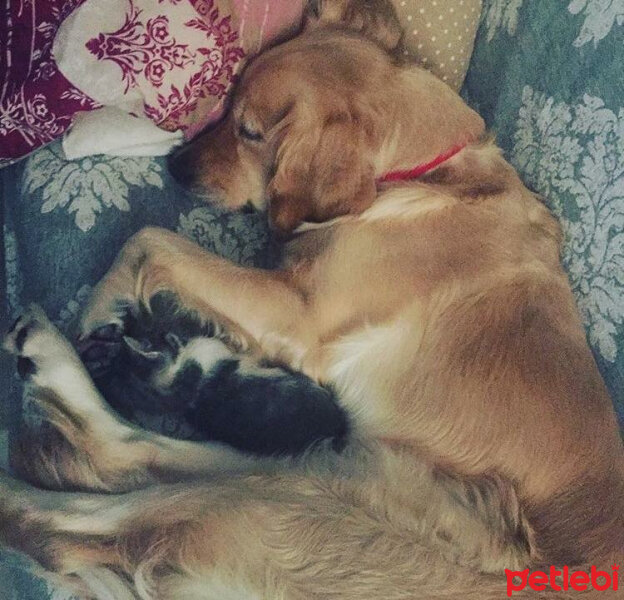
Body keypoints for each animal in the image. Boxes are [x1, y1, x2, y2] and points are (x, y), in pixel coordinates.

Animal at [1, 2, 624, 596]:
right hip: (326, 466)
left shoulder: (302, 316)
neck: (419, 175)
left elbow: (147, 238)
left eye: (251, 132)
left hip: (305, 498)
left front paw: (98, 310)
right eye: (229, 106)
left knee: (76, 508)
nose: (175, 165)